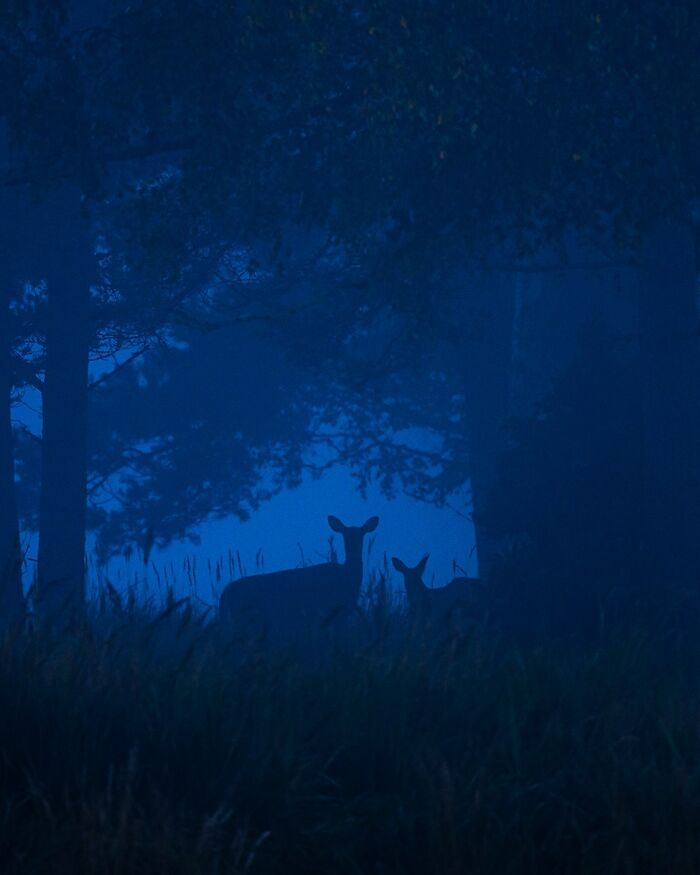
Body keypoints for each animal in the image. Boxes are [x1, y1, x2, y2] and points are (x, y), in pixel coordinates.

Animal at [221, 512, 380, 644]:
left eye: (362, 534)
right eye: (345, 535)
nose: (354, 547)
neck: (348, 576)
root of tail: (226, 592)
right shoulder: (333, 611)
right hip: (245, 618)